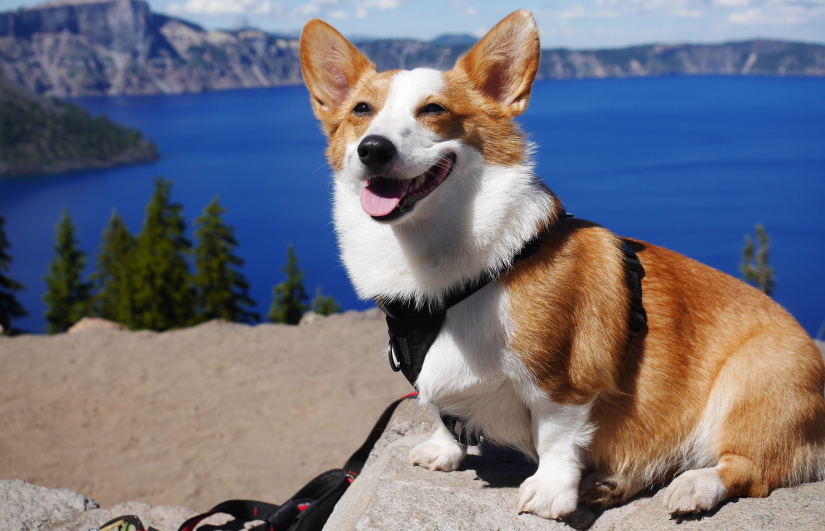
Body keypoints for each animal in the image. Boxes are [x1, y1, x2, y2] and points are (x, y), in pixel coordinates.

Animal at [298, 9, 824, 520]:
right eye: (361, 110)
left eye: (433, 110)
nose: (373, 148)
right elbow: (442, 412)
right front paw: (443, 451)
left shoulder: (563, 382)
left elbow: (556, 437)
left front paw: (550, 494)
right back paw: (612, 484)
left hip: (751, 383)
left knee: (748, 468)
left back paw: (693, 486)